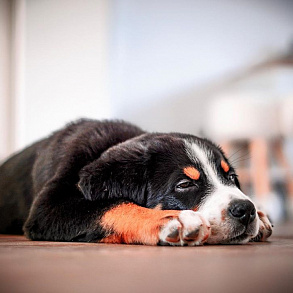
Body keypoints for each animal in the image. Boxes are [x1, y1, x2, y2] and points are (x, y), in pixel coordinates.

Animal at [0, 118, 272, 244]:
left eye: (232, 178)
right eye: (185, 185)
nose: (246, 210)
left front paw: (261, 216)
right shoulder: (48, 208)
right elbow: (112, 206)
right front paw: (173, 220)